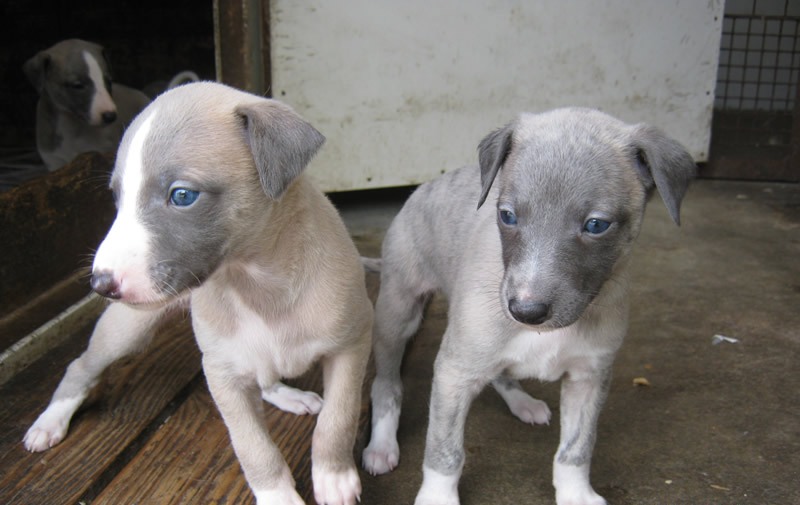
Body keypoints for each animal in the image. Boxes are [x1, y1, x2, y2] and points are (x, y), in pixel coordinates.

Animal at [23, 82, 374, 504]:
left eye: (182, 196)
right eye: (117, 199)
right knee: (80, 365)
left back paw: (287, 395)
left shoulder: (351, 346)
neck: (259, 289)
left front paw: (333, 475)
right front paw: (278, 495)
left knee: (266, 376)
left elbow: (338, 419)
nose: (100, 284)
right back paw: (51, 420)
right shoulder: (222, 373)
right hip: (128, 329)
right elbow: (253, 446)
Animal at [362, 107, 692, 504]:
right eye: (507, 216)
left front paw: (576, 494)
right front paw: (438, 497)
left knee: (501, 373)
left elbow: (576, 448)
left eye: (596, 225)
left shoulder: (589, 376)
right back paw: (382, 445)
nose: (525, 312)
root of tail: (426, 185)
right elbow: (445, 452)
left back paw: (522, 402)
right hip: (399, 312)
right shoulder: (453, 372)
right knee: (386, 386)